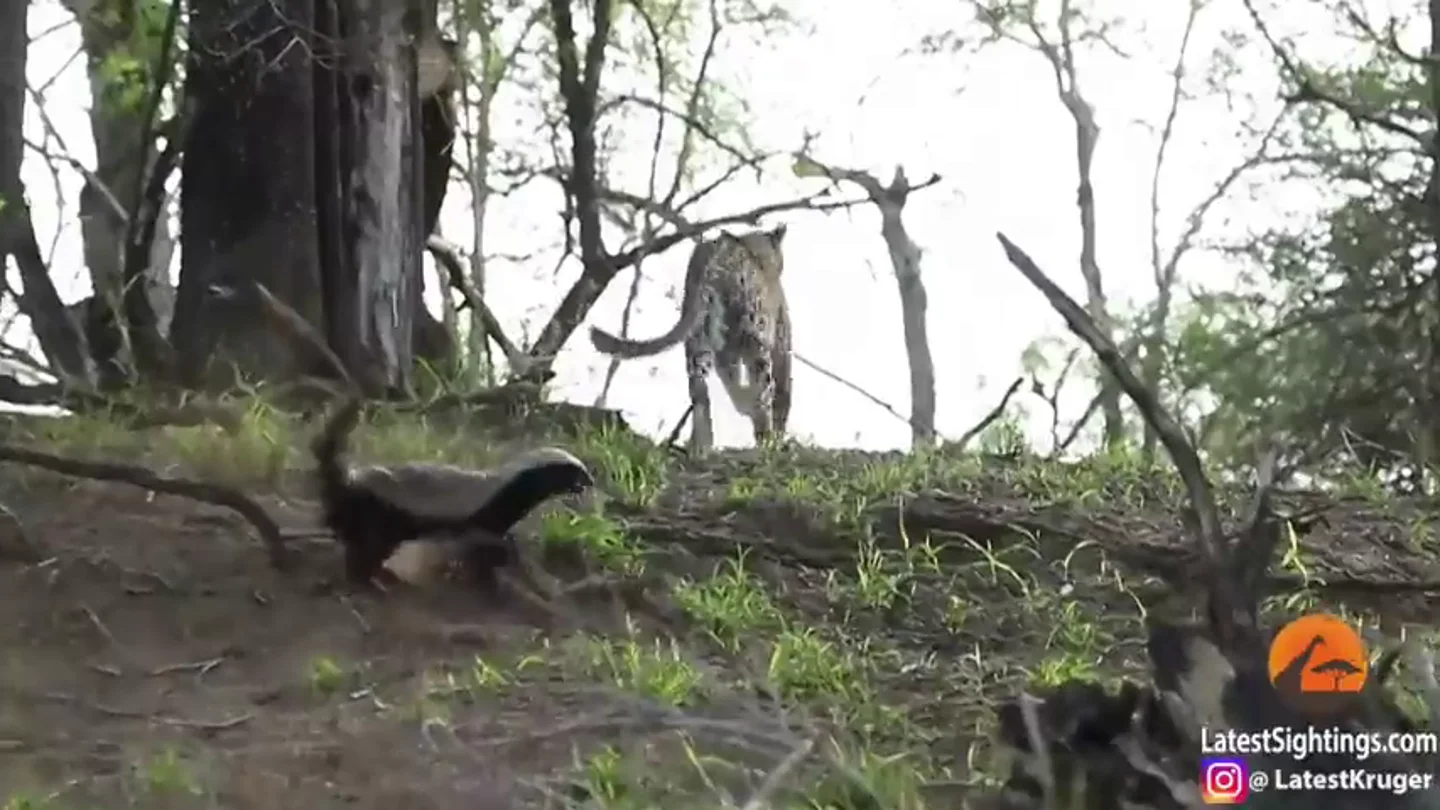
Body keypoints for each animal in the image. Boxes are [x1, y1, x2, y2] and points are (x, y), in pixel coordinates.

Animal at [590, 224, 792, 453]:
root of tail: (717, 253)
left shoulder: (727, 352)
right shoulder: (780, 344)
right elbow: (782, 395)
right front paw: (775, 439)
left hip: (700, 340)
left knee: (700, 392)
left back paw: (701, 445)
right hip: (752, 338)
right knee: (762, 389)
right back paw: (761, 435)